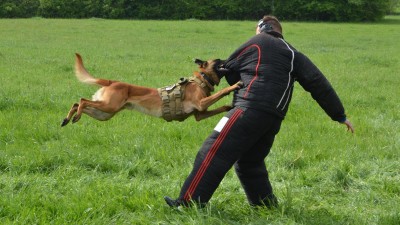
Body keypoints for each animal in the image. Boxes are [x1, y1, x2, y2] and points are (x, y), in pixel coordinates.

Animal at [59, 53, 241, 126]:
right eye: (219, 60)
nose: (231, 59)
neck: (201, 80)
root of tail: (113, 82)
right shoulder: (202, 103)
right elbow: (221, 92)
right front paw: (234, 85)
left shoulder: (200, 114)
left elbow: (220, 107)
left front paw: (229, 107)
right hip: (108, 106)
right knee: (82, 100)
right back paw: (75, 116)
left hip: (104, 113)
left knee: (77, 103)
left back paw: (68, 119)